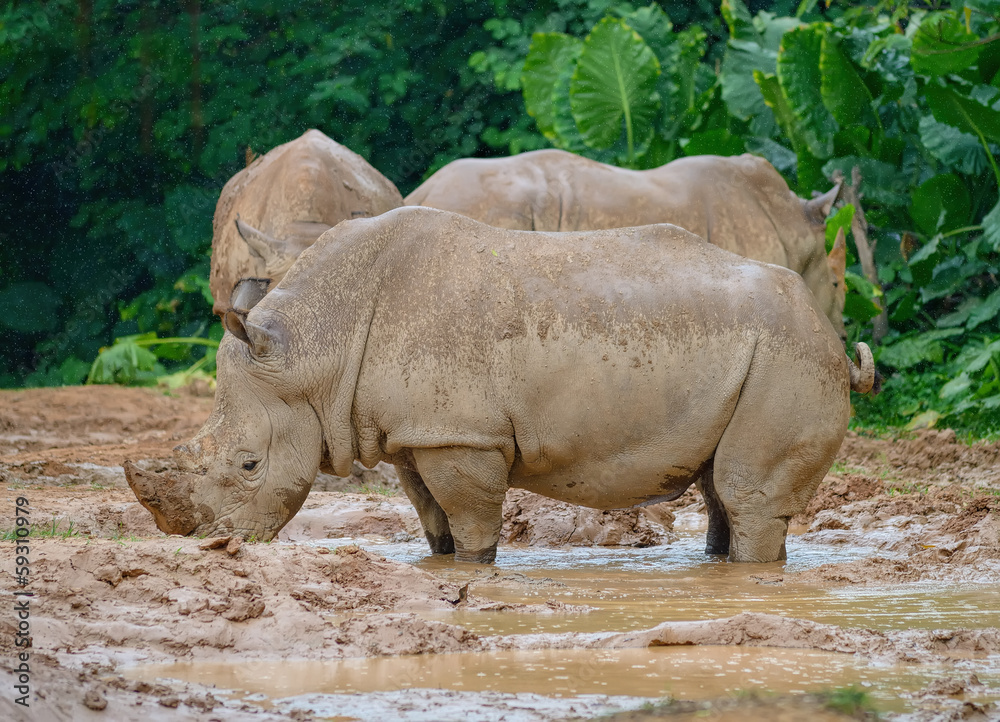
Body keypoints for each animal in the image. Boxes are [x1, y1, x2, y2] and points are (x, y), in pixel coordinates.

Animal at [126, 207, 874, 564]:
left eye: (250, 465)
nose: (214, 545)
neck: (312, 350)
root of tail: (835, 341)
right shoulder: (416, 434)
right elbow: (432, 517)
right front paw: (441, 561)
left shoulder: (462, 436)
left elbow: (473, 521)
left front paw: (476, 570)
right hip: (762, 354)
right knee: (724, 489)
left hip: (790, 357)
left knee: (749, 494)